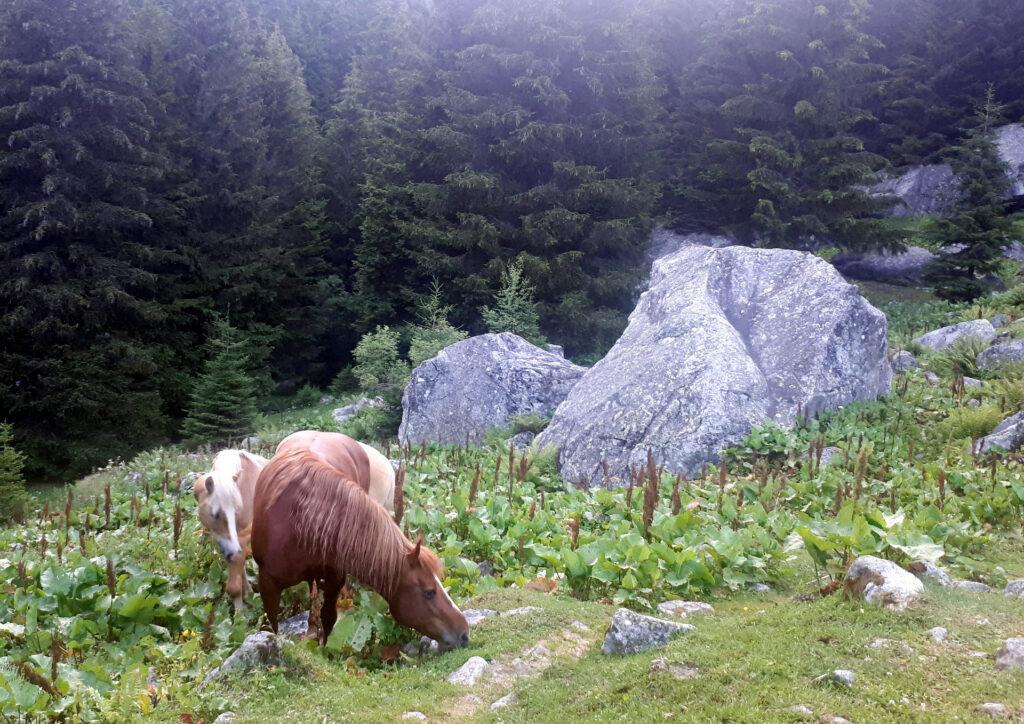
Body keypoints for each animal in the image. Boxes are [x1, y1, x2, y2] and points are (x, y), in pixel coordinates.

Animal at [190, 450, 266, 610]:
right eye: (216, 514)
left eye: (236, 511)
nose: (232, 551)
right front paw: (247, 594)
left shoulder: (242, 536)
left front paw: (239, 614)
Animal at [253, 450, 468, 647]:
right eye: (429, 592)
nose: (465, 633)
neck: (302, 521)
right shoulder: (267, 584)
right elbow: (273, 625)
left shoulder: (335, 580)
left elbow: (328, 618)